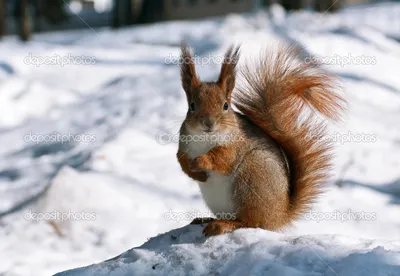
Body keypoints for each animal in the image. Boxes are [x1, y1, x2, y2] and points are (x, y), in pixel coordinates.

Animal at [177, 43, 346, 237]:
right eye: (192, 106)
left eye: (225, 105)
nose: (208, 123)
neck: (205, 137)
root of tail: (280, 214)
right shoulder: (184, 144)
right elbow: (181, 159)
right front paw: (194, 172)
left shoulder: (235, 145)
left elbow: (223, 158)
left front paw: (200, 162)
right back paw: (206, 219)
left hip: (252, 178)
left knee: (250, 222)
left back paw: (223, 224)